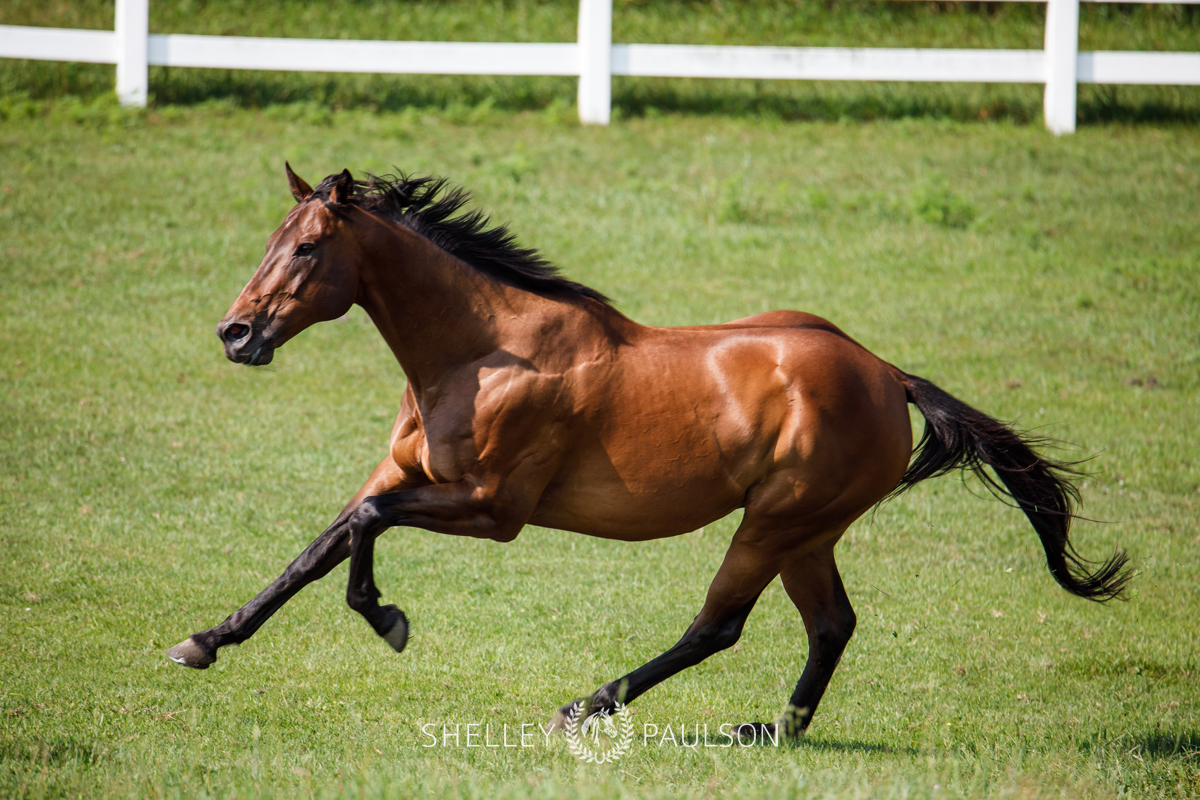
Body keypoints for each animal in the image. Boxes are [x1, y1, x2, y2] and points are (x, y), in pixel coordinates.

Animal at [164, 165, 1128, 743]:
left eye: (308, 247)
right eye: (269, 242)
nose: (235, 334)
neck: (482, 351)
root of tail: (889, 374)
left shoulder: (492, 509)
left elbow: (362, 530)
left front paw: (388, 621)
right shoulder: (405, 476)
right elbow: (316, 550)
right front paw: (204, 640)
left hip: (775, 523)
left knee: (718, 625)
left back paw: (584, 706)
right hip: (808, 534)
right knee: (831, 625)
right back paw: (771, 732)